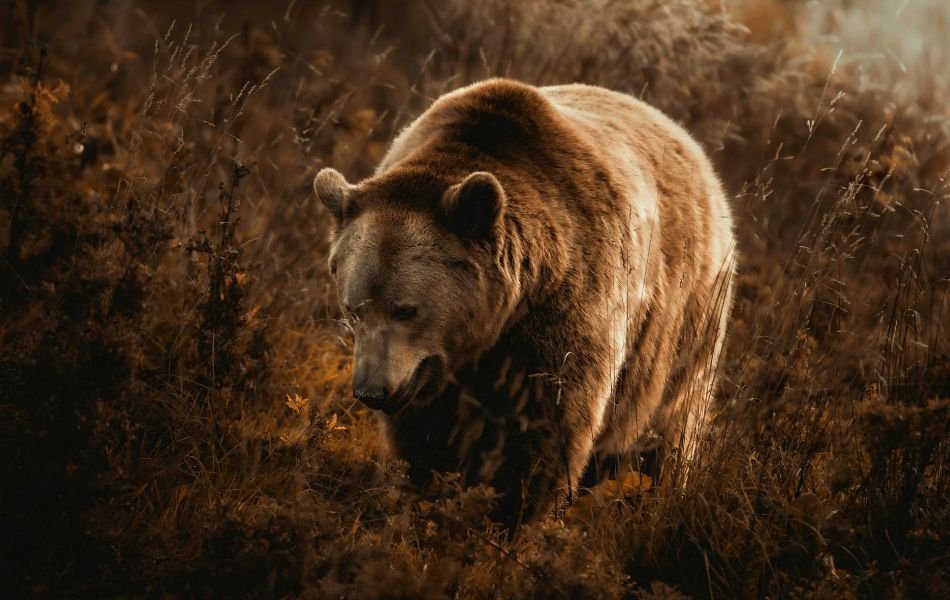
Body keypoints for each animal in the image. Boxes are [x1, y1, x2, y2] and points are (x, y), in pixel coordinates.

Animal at [313, 78, 736, 527]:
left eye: (405, 309)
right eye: (353, 309)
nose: (371, 391)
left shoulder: (561, 311)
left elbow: (544, 427)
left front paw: (510, 513)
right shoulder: (428, 373)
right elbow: (422, 434)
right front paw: (425, 492)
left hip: (685, 325)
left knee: (663, 430)